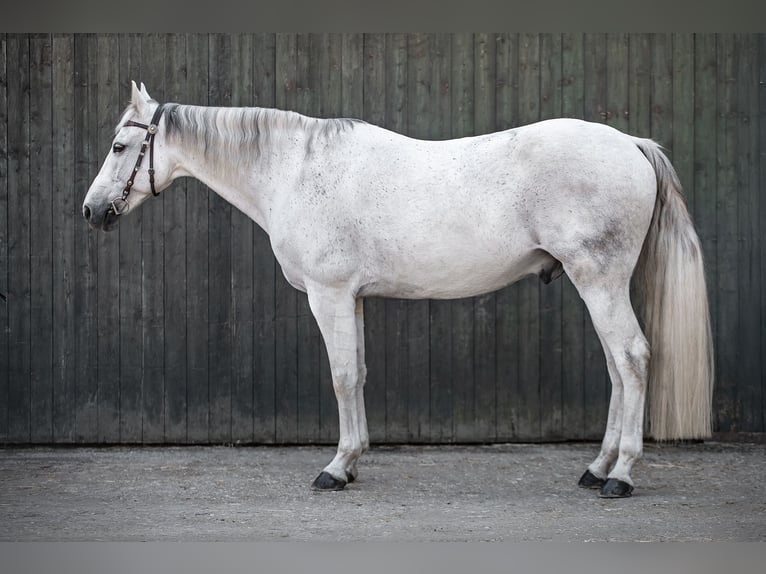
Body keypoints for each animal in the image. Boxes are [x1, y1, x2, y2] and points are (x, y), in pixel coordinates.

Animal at [83, 82, 713, 498]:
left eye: (119, 147)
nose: (91, 211)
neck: (295, 170)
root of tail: (629, 143)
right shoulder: (354, 298)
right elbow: (359, 374)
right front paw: (353, 462)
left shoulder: (329, 295)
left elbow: (341, 377)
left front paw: (334, 469)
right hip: (597, 284)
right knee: (617, 368)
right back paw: (596, 468)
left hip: (599, 280)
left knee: (632, 359)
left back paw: (621, 476)